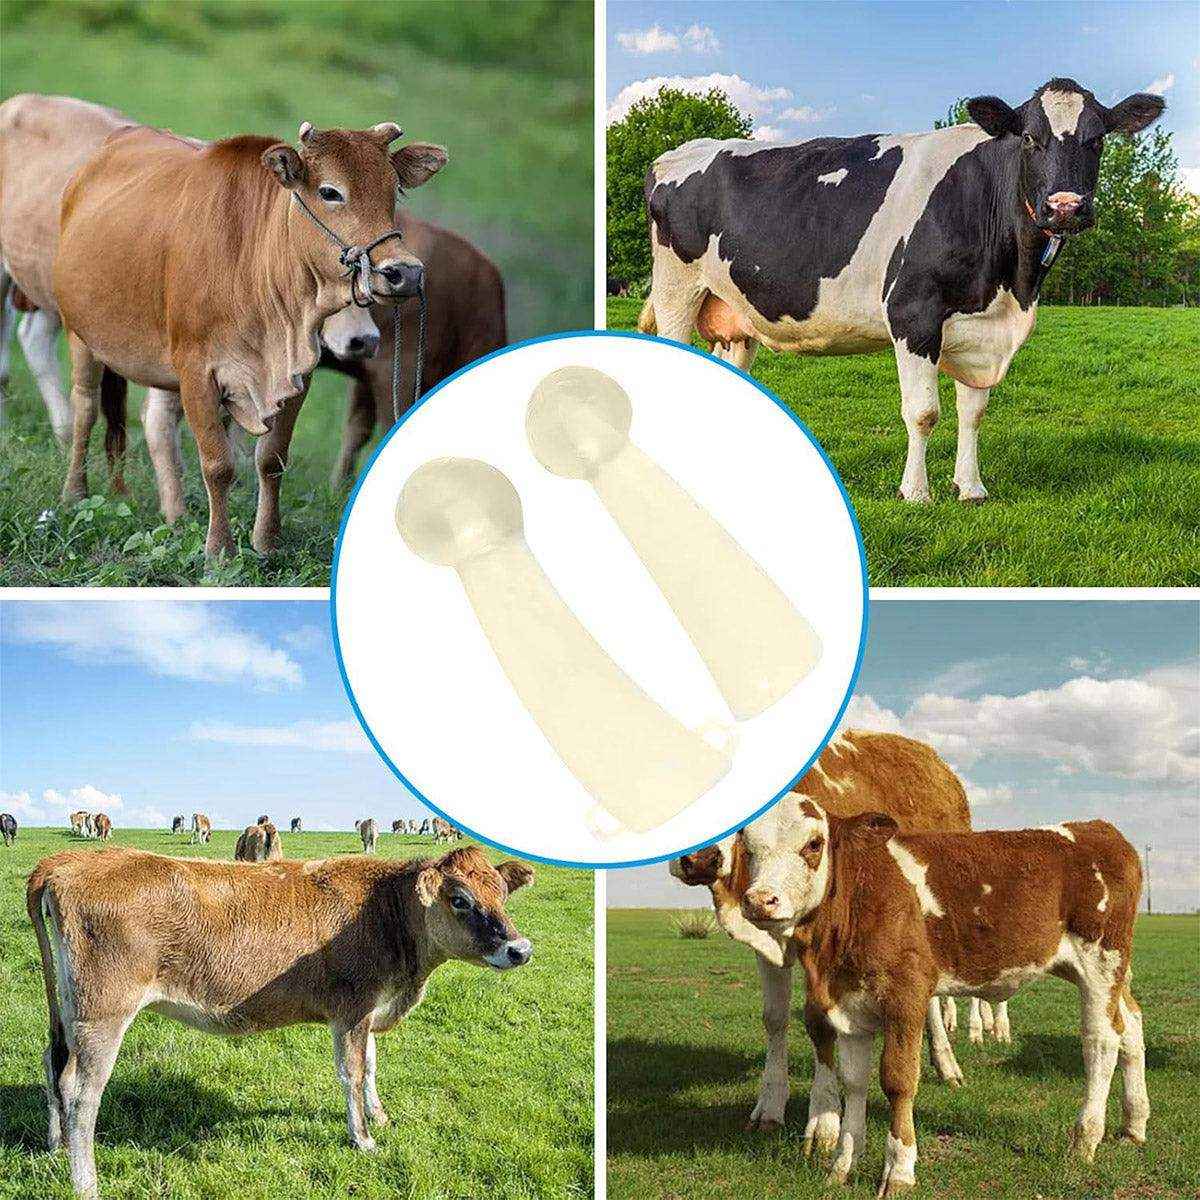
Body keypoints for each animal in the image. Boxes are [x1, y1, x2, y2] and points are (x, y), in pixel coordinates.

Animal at [27, 844, 534, 1198]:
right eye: (459, 899)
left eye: (501, 893)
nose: (520, 949)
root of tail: (68, 860)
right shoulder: (352, 1009)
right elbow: (351, 1073)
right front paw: (363, 1138)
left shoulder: (369, 1010)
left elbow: (371, 1066)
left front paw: (379, 1115)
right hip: (103, 1013)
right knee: (82, 1093)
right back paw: (85, 1182)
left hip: (71, 1010)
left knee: (53, 1066)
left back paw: (56, 1145)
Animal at [51, 107, 445, 560]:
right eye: (330, 192)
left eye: (393, 191)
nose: (404, 272)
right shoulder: (196, 371)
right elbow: (218, 464)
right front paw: (219, 550)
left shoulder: (297, 374)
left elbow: (271, 459)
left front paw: (266, 542)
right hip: (80, 334)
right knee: (85, 409)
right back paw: (75, 493)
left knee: (157, 424)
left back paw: (174, 515)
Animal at [642, 79, 1165, 503]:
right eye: (1030, 138)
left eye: (1097, 139)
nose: (1065, 207)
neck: (1010, 286)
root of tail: (677, 152)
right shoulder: (914, 312)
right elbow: (923, 413)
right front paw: (915, 493)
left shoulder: (979, 328)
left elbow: (973, 412)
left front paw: (971, 488)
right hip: (676, 290)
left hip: (736, 312)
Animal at [669, 730, 1007, 1133]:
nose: (700, 859)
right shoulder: (766, 935)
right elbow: (775, 1017)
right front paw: (771, 1103)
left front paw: (823, 1117)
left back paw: (947, 1063)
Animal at [738, 802, 1146, 1196]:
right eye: (748, 847)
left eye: (814, 844)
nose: (760, 900)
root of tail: (1096, 828)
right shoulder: (850, 1005)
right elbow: (853, 1081)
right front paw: (842, 1165)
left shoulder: (906, 995)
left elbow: (898, 1079)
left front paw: (899, 1169)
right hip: (1099, 971)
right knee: (1131, 1026)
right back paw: (1134, 1125)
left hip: (1101, 961)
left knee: (1101, 1041)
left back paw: (1085, 1139)